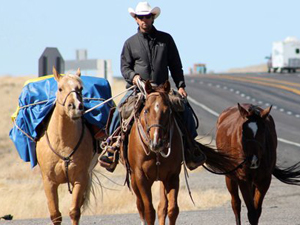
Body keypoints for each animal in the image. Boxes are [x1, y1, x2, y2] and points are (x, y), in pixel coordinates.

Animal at [36, 68, 97, 225]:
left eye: (80, 88)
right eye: (60, 88)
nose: (75, 107)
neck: (62, 142)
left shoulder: (80, 178)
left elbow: (74, 212)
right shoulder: (49, 182)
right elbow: (55, 215)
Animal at [126, 80, 237, 224]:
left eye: (168, 111)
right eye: (146, 110)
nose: (156, 142)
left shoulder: (172, 176)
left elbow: (172, 209)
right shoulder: (141, 177)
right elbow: (149, 211)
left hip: (162, 179)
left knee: (162, 207)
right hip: (134, 179)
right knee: (140, 206)